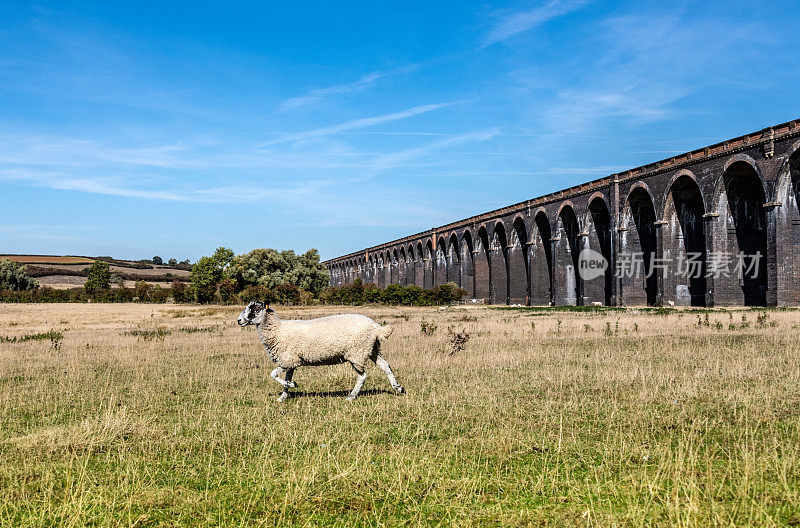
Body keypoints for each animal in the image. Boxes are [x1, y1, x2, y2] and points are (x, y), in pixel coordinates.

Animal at [234, 304, 404, 402]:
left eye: (255, 308)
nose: (239, 320)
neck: (278, 330)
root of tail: (376, 327)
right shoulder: (291, 362)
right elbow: (286, 379)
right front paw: (283, 396)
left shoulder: (288, 359)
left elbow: (273, 374)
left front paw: (292, 386)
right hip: (373, 349)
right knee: (386, 366)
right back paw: (398, 388)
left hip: (357, 353)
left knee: (363, 376)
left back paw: (351, 396)